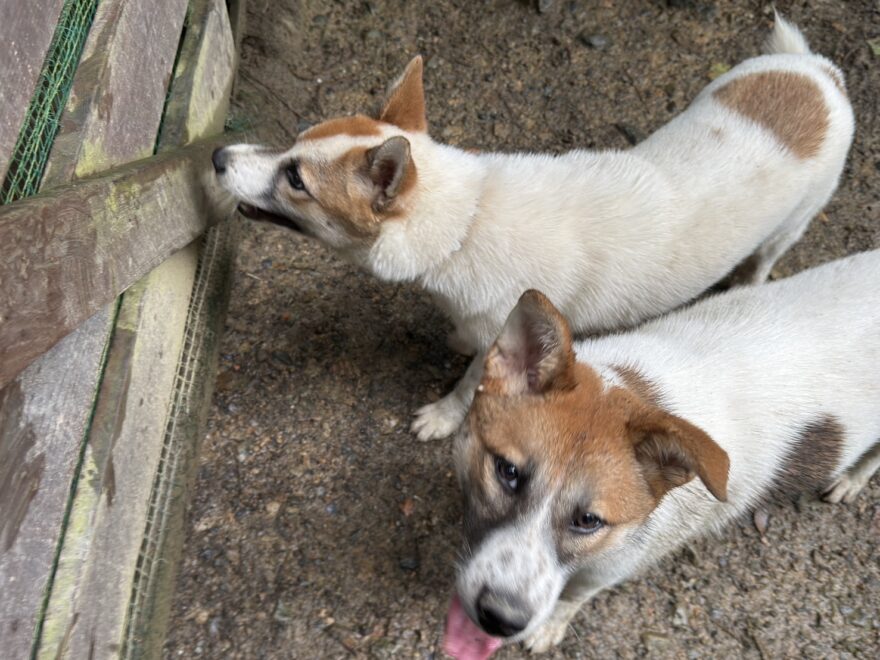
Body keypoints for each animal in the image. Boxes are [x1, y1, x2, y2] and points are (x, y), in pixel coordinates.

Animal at [212, 14, 853, 441]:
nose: (217, 156)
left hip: (790, 227)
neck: (465, 220)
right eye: (292, 144)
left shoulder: (506, 338)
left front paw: (442, 417)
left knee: (765, 260)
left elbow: (469, 385)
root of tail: (821, 72)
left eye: (296, 179)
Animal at [445, 249, 880, 657]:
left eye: (589, 520)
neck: (639, 391)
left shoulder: (617, 563)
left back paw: (850, 481)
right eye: (507, 472)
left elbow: (574, 595)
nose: (500, 619)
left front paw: (550, 627)